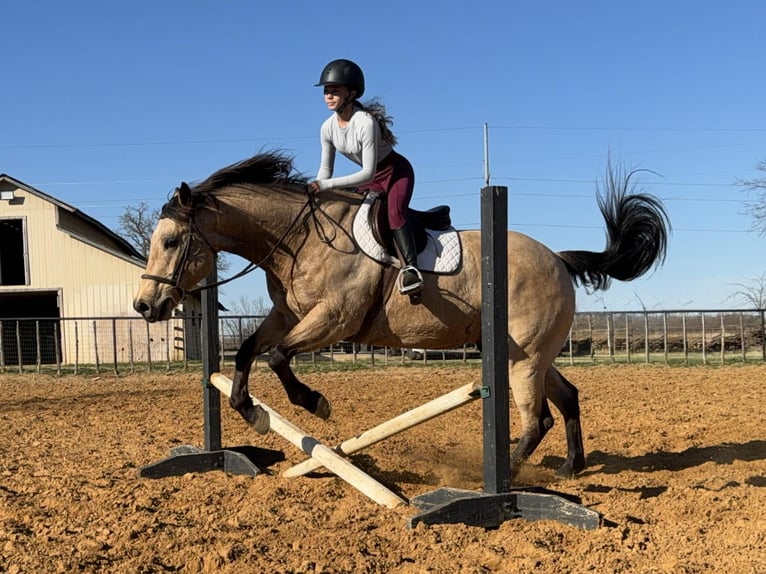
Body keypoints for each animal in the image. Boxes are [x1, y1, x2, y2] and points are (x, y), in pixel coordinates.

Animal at [133, 151, 669, 478]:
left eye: (172, 241)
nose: (145, 306)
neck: (298, 238)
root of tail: (559, 258)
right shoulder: (288, 315)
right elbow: (248, 351)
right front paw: (252, 413)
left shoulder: (334, 320)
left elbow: (279, 358)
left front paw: (314, 403)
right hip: (529, 353)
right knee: (567, 398)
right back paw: (570, 467)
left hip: (525, 358)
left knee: (536, 418)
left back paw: (501, 474)